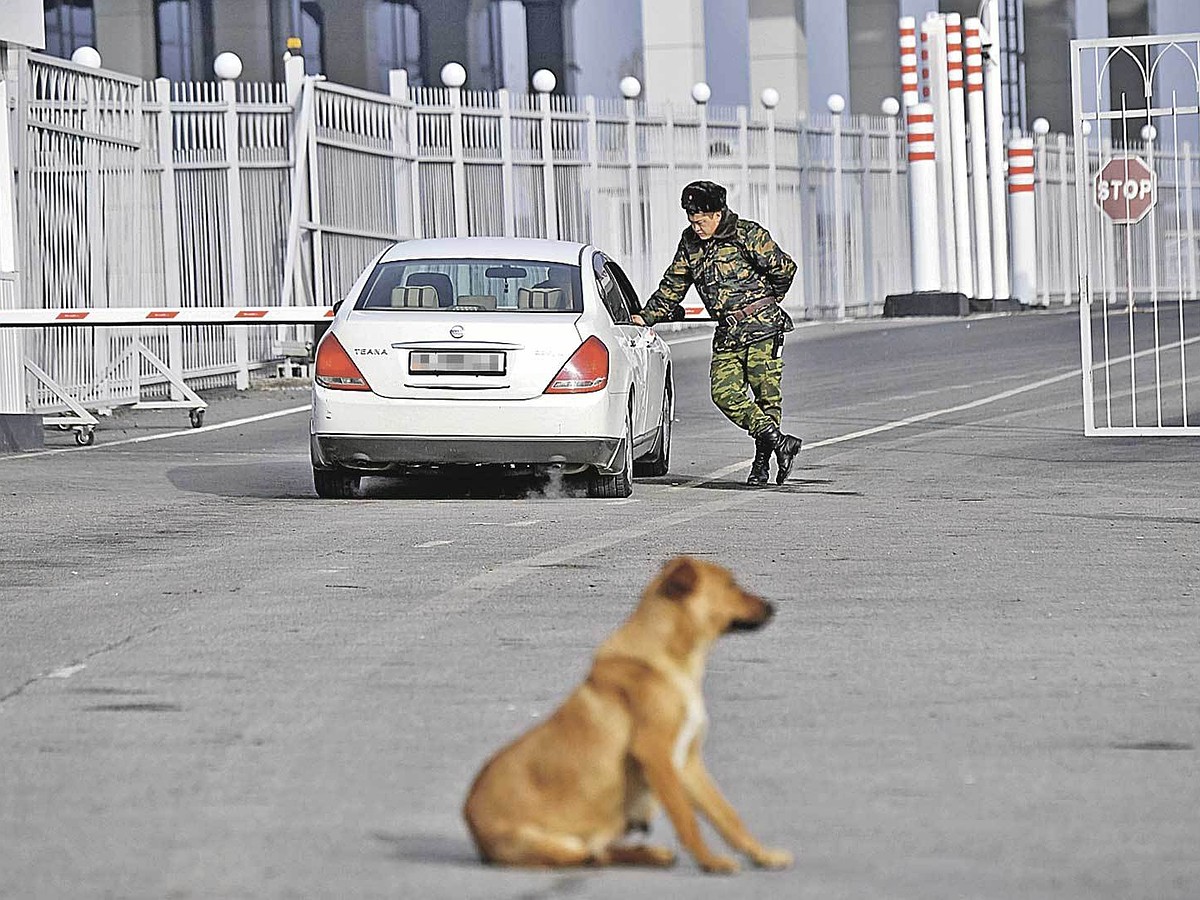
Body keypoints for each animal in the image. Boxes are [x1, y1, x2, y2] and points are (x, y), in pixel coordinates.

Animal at [463, 556, 792, 873]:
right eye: (731, 584)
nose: (772, 606)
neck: (668, 662)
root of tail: (472, 826)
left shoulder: (688, 763)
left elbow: (727, 816)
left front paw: (763, 855)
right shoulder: (655, 754)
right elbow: (686, 819)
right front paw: (710, 862)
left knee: (601, 851)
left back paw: (652, 853)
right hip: (545, 843)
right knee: (590, 856)